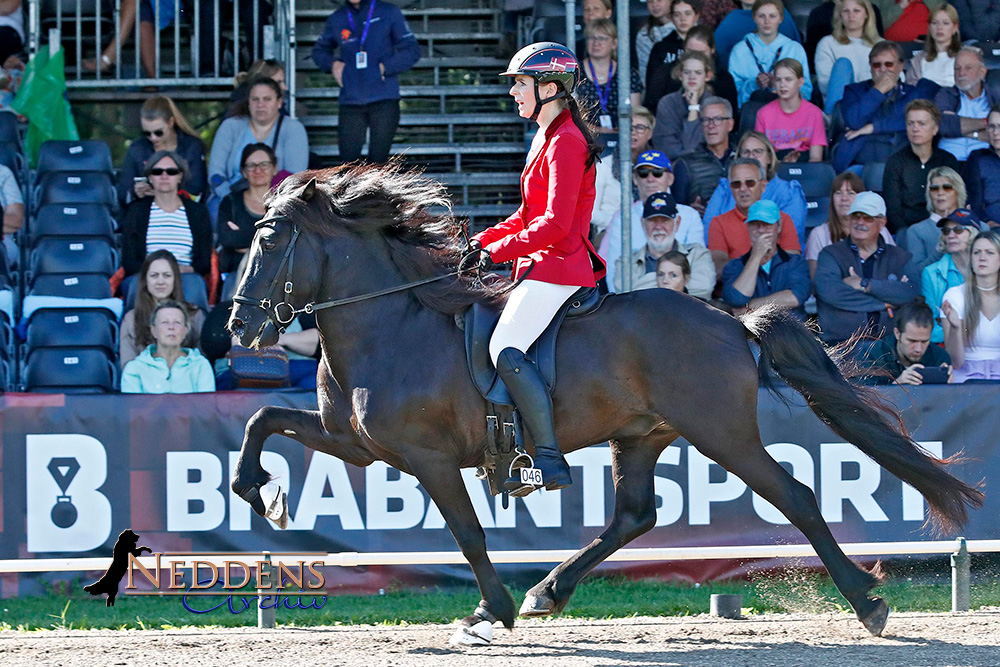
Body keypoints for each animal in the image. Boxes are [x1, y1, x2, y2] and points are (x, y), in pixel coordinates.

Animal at [227, 166, 984, 640]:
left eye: (269, 239)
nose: (239, 326)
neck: (392, 322)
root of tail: (729, 320)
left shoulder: (428, 456)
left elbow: (467, 532)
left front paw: (490, 611)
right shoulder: (358, 443)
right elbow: (263, 420)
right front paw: (261, 492)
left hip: (722, 433)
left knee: (793, 495)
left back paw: (869, 602)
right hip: (642, 434)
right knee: (634, 514)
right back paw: (549, 590)